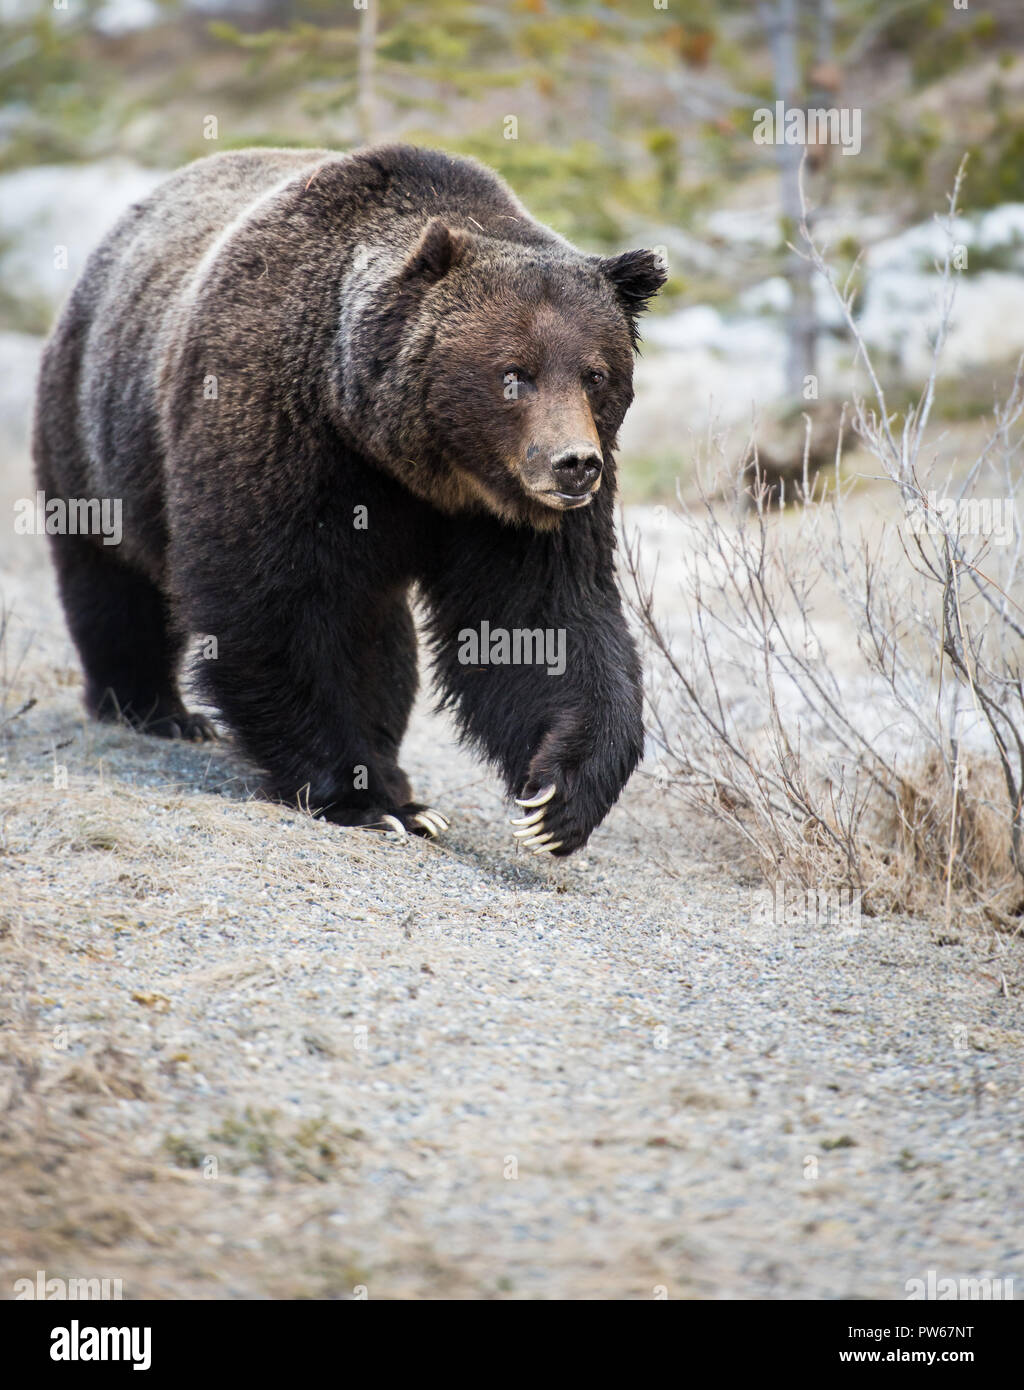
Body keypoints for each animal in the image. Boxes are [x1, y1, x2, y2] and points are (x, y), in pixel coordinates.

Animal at [33, 144, 665, 856]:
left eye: (595, 374)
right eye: (515, 374)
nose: (573, 464)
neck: (410, 458)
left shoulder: (508, 516)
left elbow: (542, 619)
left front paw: (556, 799)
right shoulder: (281, 430)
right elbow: (277, 604)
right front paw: (362, 798)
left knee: (382, 638)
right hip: (98, 428)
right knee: (113, 579)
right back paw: (154, 709)